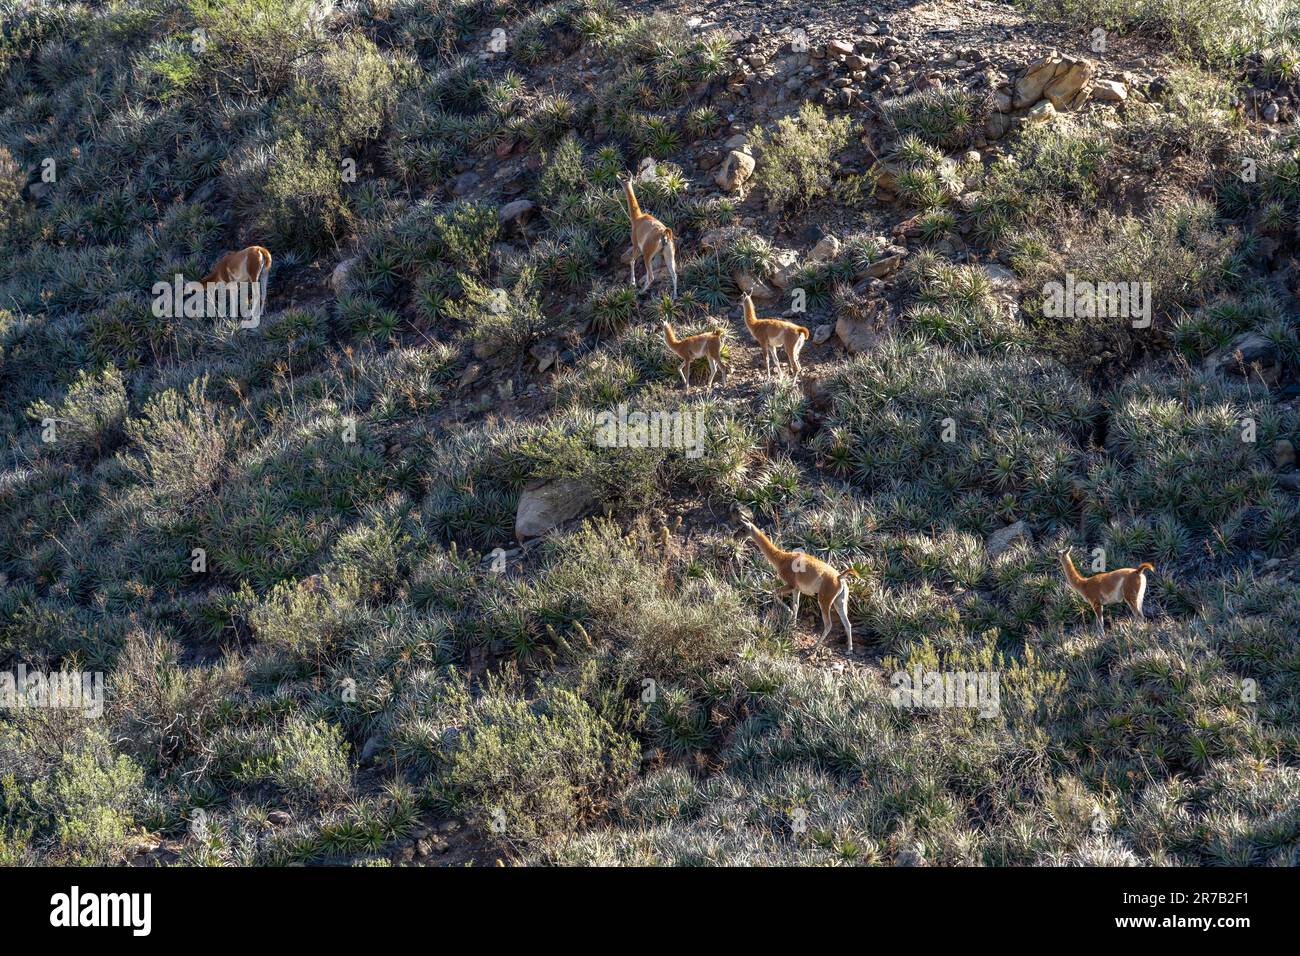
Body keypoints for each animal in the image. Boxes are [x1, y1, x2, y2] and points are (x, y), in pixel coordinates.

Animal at [738, 520, 857, 655]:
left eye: (743, 529)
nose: (735, 535)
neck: (781, 558)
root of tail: (839, 577)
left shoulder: (791, 584)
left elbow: (774, 593)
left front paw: (789, 615)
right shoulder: (797, 589)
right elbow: (796, 605)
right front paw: (793, 625)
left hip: (825, 599)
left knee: (828, 624)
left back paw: (814, 646)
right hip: (840, 600)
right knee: (847, 623)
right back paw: (849, 649)